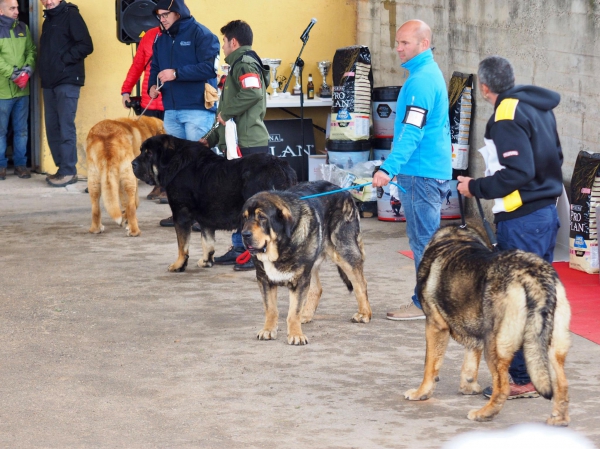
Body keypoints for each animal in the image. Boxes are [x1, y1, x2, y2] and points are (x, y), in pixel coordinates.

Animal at [133, 135, 298, 272]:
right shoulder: (205, 218)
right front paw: (206, 261)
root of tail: (281, 167)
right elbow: (207, 241)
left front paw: (178, 265)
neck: (175, 163)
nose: (132, 163)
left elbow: (182, 245)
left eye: (149, 153)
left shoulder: (181, 214)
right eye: (141, 150)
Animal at [239, 180, 370, 344]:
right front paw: (268, 330)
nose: (244, 234)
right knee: (317, 289)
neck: (281, 247)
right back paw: (306, 314)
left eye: (262, 217)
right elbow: (271, 309)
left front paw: (296, 334)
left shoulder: (300, 280)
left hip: (344, 252)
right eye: (244, 218)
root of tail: (343, 190)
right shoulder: (264, 280)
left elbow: (293, 311)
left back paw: (364, 314)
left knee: (360, 283)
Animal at [406, 223, 568, 424]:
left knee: (502, 386)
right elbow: (469, 363)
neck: (457, 237)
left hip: (495, 346)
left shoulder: (435, 326)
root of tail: (532, 275)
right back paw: (559, 419)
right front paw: (468, 387)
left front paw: (421, 393)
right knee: (562, 383)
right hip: (553, 348)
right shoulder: (474, 330)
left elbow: (430, 365)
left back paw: (484, 413)